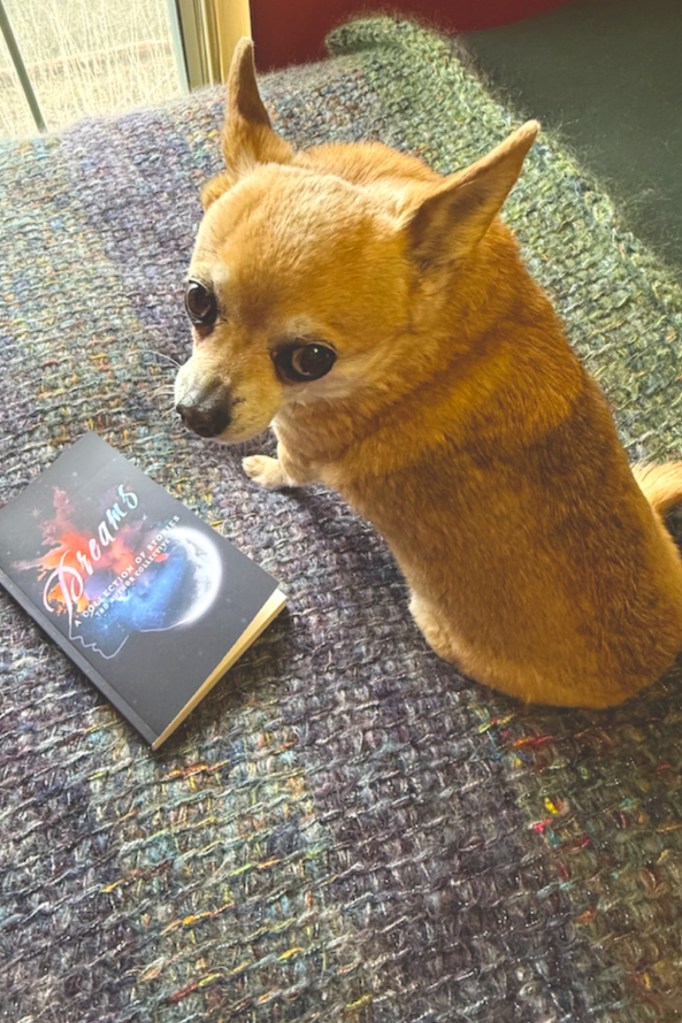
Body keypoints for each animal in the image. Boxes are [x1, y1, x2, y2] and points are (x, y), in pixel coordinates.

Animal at [174, 39, 682, 707]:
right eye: (197, 302)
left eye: (310, 361)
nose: (197, 415)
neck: (429, 334)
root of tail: (653, 664)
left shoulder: (301, 444)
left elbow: (285, 467)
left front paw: (261, 469)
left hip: (432, 621)